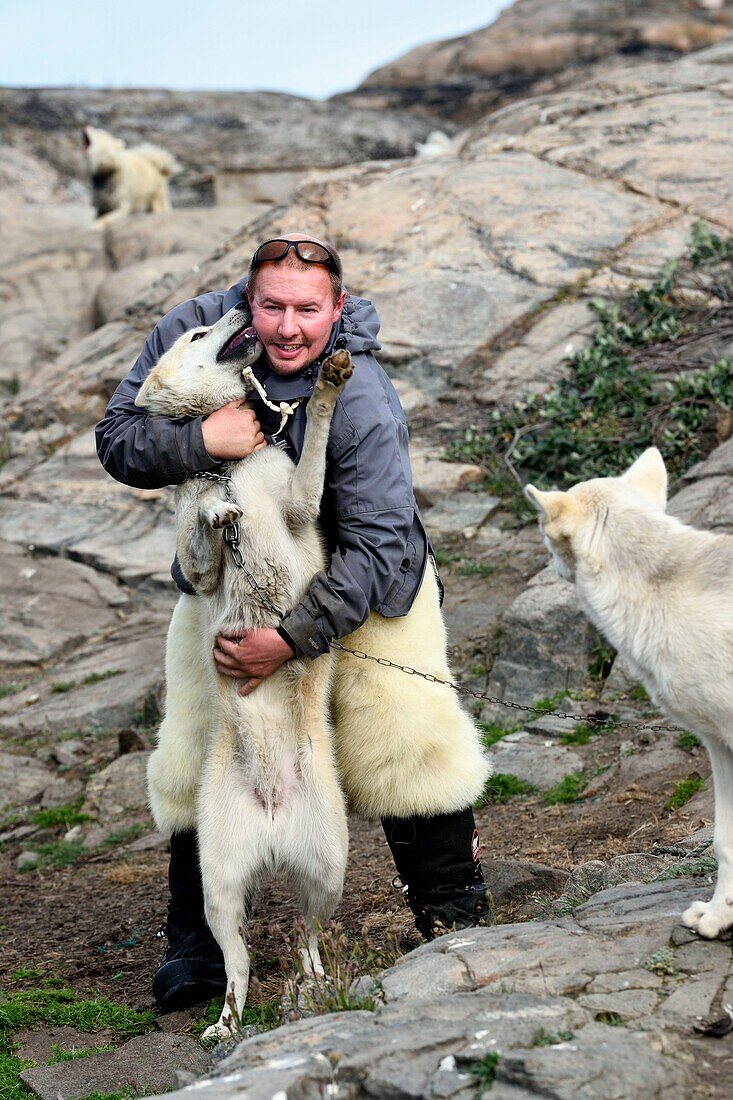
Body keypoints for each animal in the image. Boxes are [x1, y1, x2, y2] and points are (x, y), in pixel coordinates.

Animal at [137, 305, 354, 1034]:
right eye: (197, 335)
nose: (232, 309)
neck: (228, 466)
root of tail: (272, 817)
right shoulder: (199, 566)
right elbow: (203, 533)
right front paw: (215, 511)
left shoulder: (299, 500)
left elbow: (313, 447)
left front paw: (327, 384)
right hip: (220, 886)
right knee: (238, 963)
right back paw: (227, 1020)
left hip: (328, 869)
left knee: (309, 937)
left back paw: (311, 987)